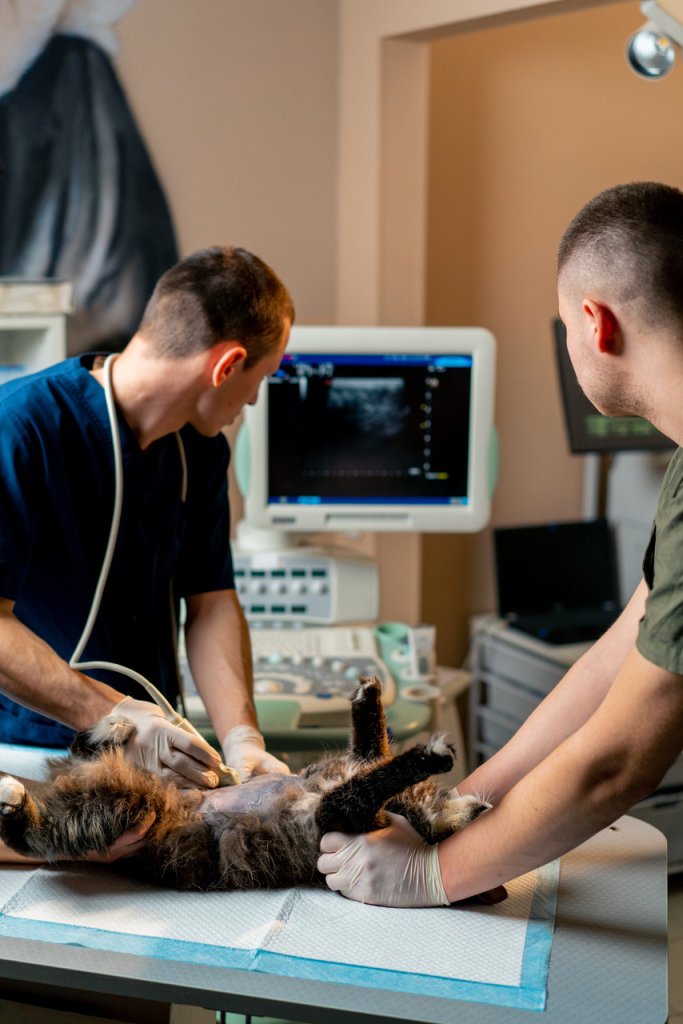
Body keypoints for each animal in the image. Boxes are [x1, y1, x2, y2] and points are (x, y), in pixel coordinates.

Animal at [0, 679, 501, 897]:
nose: (485, 804)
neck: (411, 809)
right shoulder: (351, 778)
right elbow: (374, 744)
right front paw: (368, 695)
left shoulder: (340, 811)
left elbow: (380, 769)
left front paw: (431, 755)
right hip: (131, 791)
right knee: (78, 752)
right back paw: (117, 725)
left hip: (121, 808)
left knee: (37, 836)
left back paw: (13, 797)